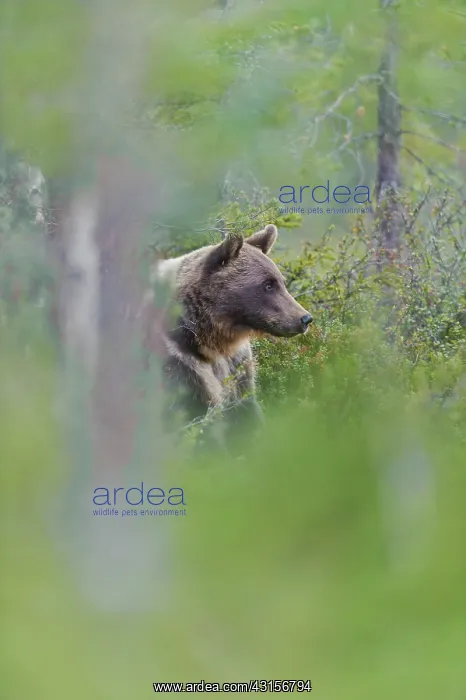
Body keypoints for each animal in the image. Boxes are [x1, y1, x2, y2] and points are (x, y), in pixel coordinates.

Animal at [149, 224, 312, 451]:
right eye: (267, 285)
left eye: (281, 282)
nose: (304, 318)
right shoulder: (180, 363)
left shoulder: (237, 364)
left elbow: (245, 408)